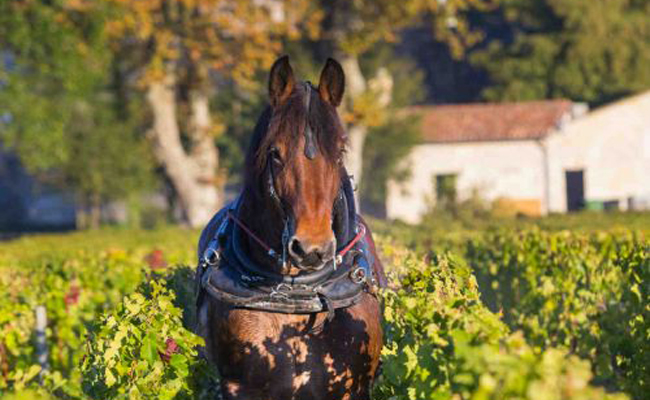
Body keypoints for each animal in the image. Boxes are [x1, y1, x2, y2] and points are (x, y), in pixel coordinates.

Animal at [195, 56, 382, 400]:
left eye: (339, 152)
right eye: (275, 153)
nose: (311, 249)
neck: (297, 297)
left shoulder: (351, 387)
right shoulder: (242, 388)